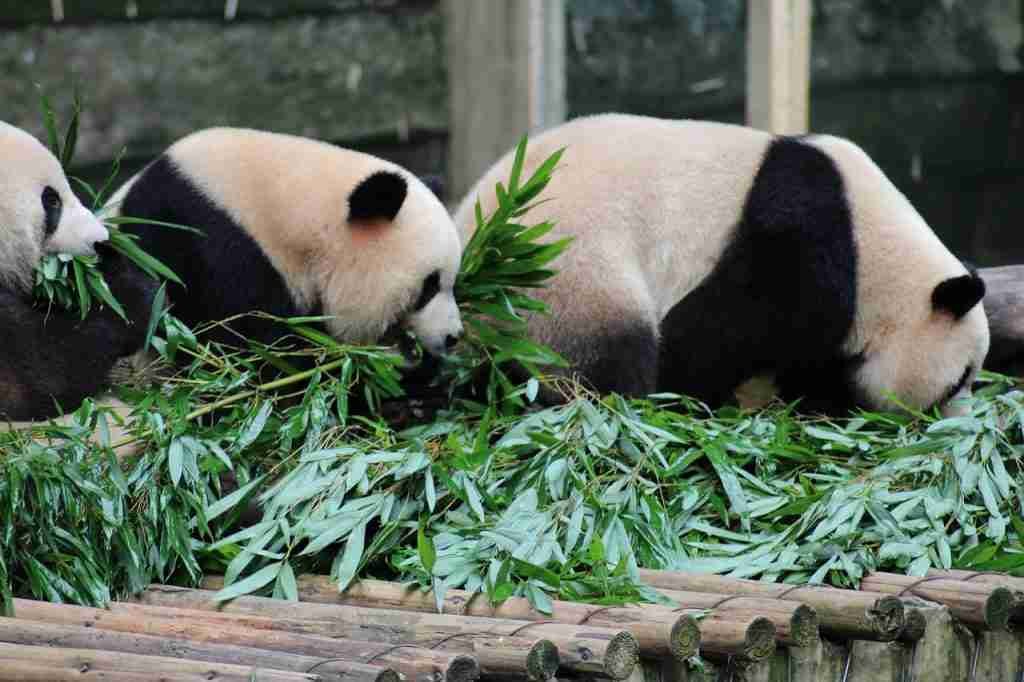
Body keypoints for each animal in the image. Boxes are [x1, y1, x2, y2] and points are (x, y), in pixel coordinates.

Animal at [452, 112, 987, 413]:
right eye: (957, 381)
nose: (958, 418)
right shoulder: (809, 238)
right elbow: (736, 321)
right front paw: (686, 389)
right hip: (567, 272)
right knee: (603, 357)